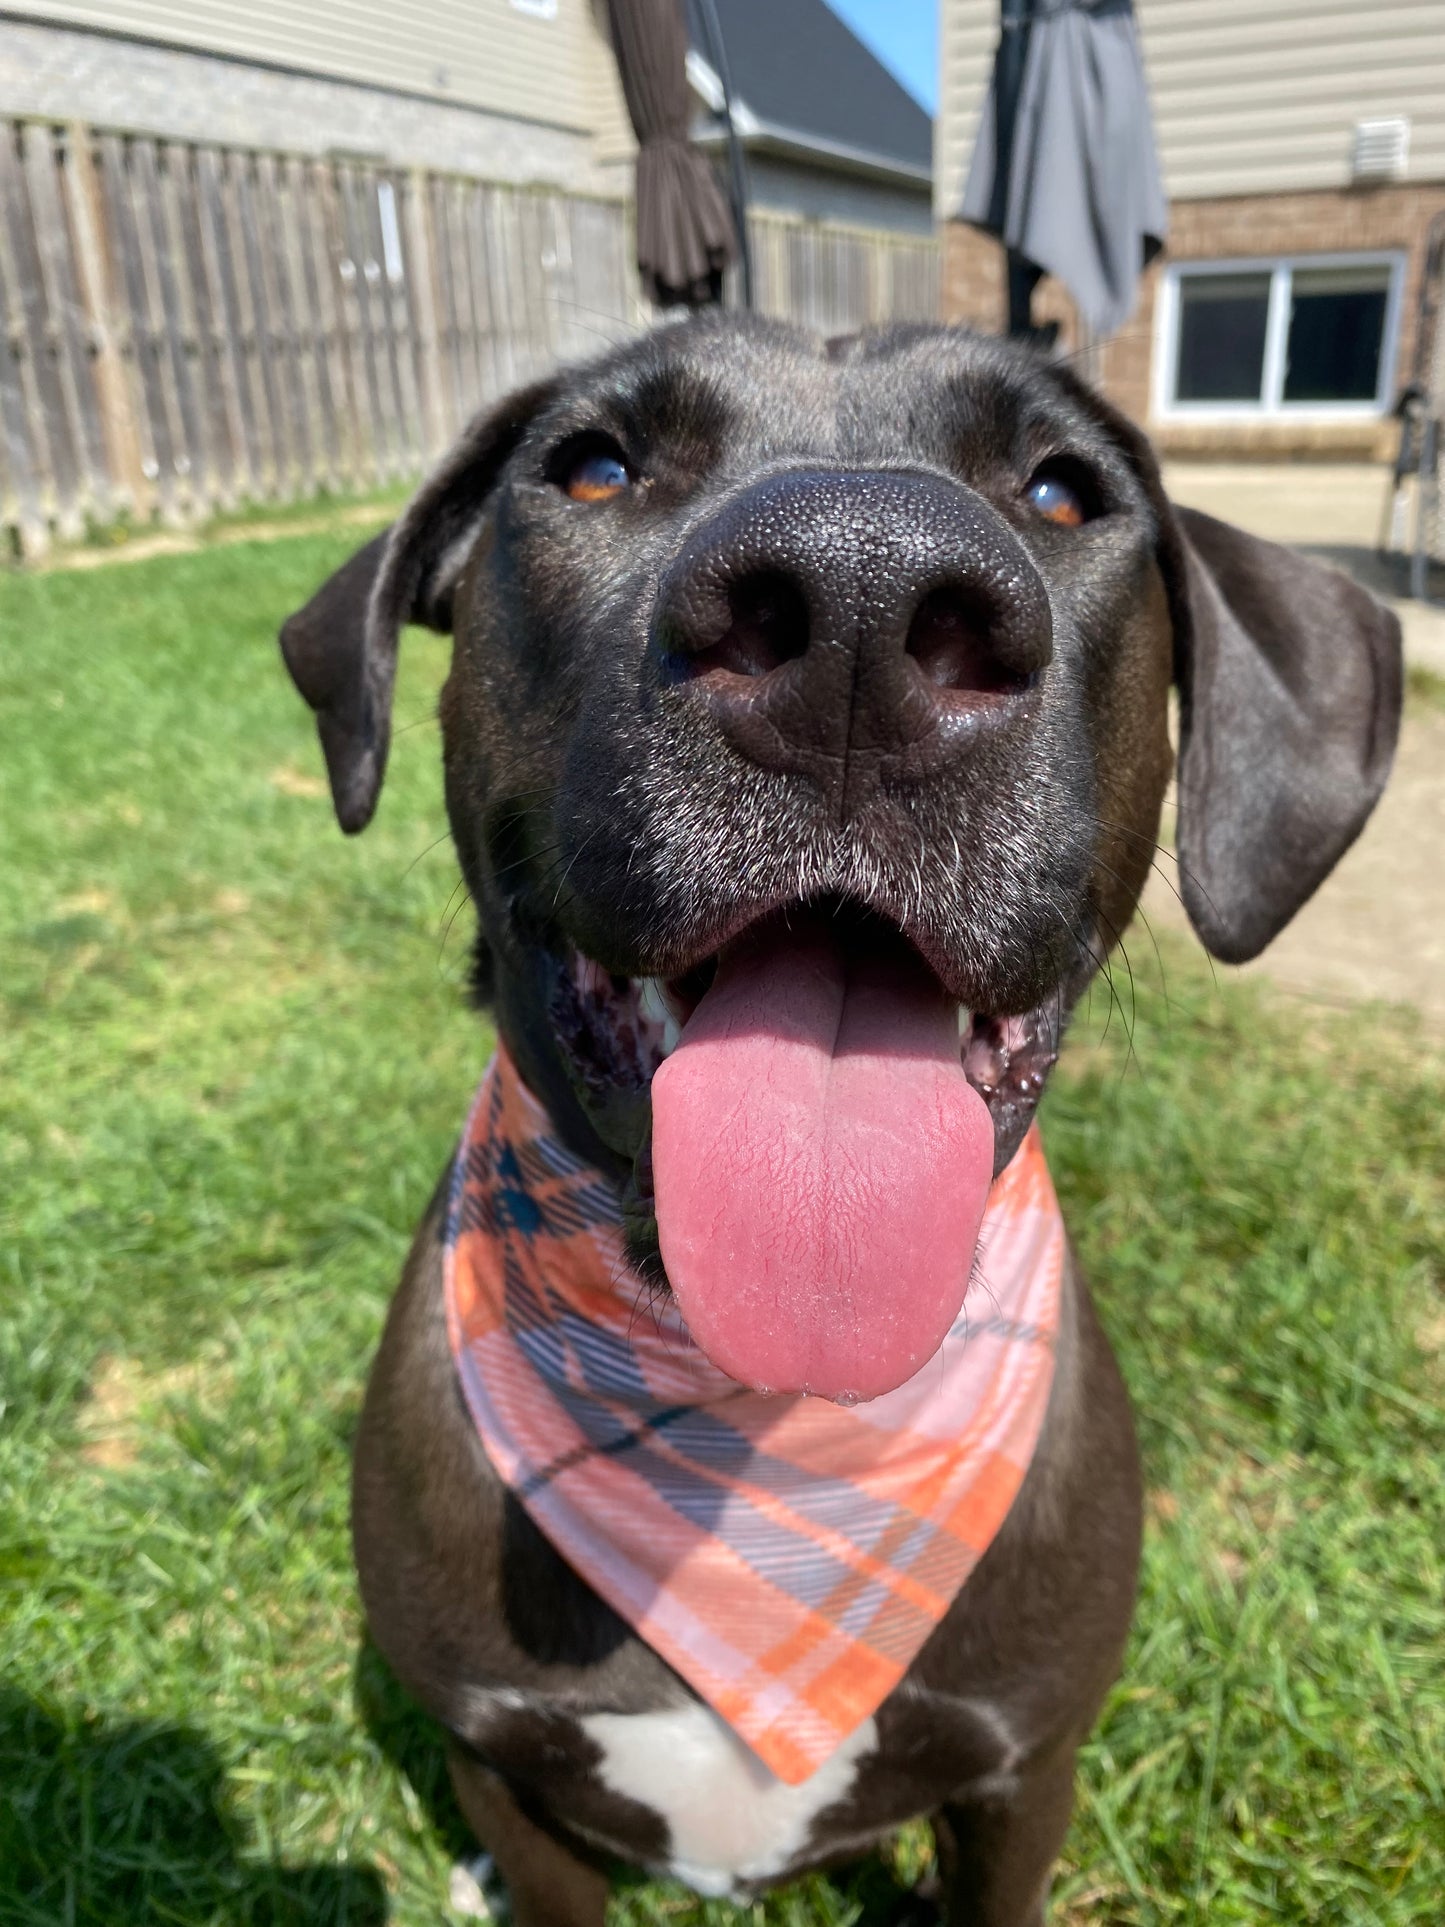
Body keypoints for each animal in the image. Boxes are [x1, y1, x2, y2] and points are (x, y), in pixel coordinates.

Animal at [283, 319, 1402, 1927]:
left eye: (1059, 490)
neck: (762, 1418)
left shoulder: (1021, 1771)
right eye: (595, 465)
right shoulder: (498, 1760)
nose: (859, 605)